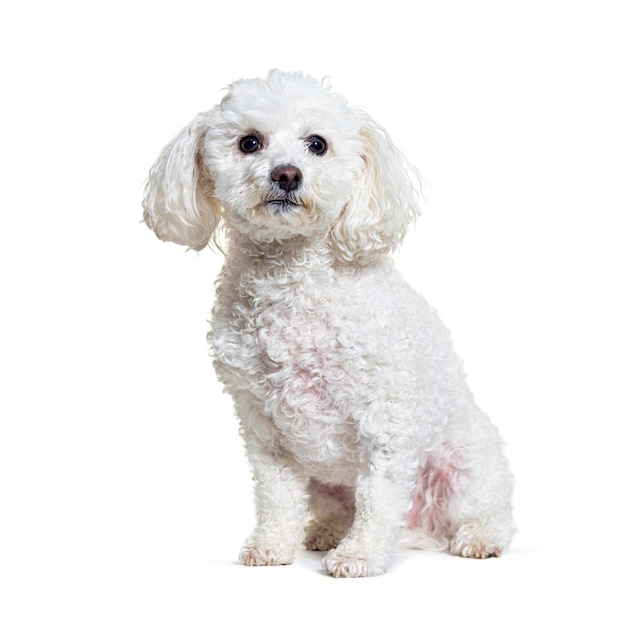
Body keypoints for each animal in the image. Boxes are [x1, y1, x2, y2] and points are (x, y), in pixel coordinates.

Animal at [144, 68, 516, 576]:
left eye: (316, 144)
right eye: (249, 142)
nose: (286, 173)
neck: (292, 280)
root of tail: (420, 530)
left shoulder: (386, 419)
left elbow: (378, 498)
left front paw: (360, 555)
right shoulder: (263, 426)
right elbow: (275, 495)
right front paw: (271, 545)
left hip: (465, 463)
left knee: (488, 510)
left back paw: (479, 537)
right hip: (326, 481)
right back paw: (326, 531)